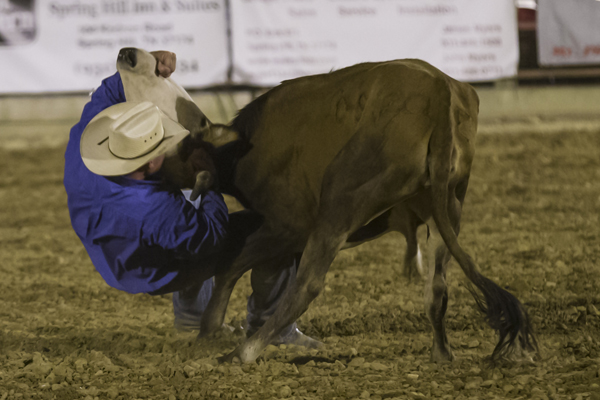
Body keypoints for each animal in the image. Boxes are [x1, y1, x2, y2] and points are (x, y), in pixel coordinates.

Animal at [116, 47, 538, 364]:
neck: (242, 147)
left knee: (309, 283)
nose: (128, 54)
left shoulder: (289, 226)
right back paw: (442, 354)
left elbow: (234, 264)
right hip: (448, 206)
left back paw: (246, 351)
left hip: (341, 194)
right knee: (437, 287)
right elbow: (256, 273)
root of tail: (438, 92)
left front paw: (211, 329)